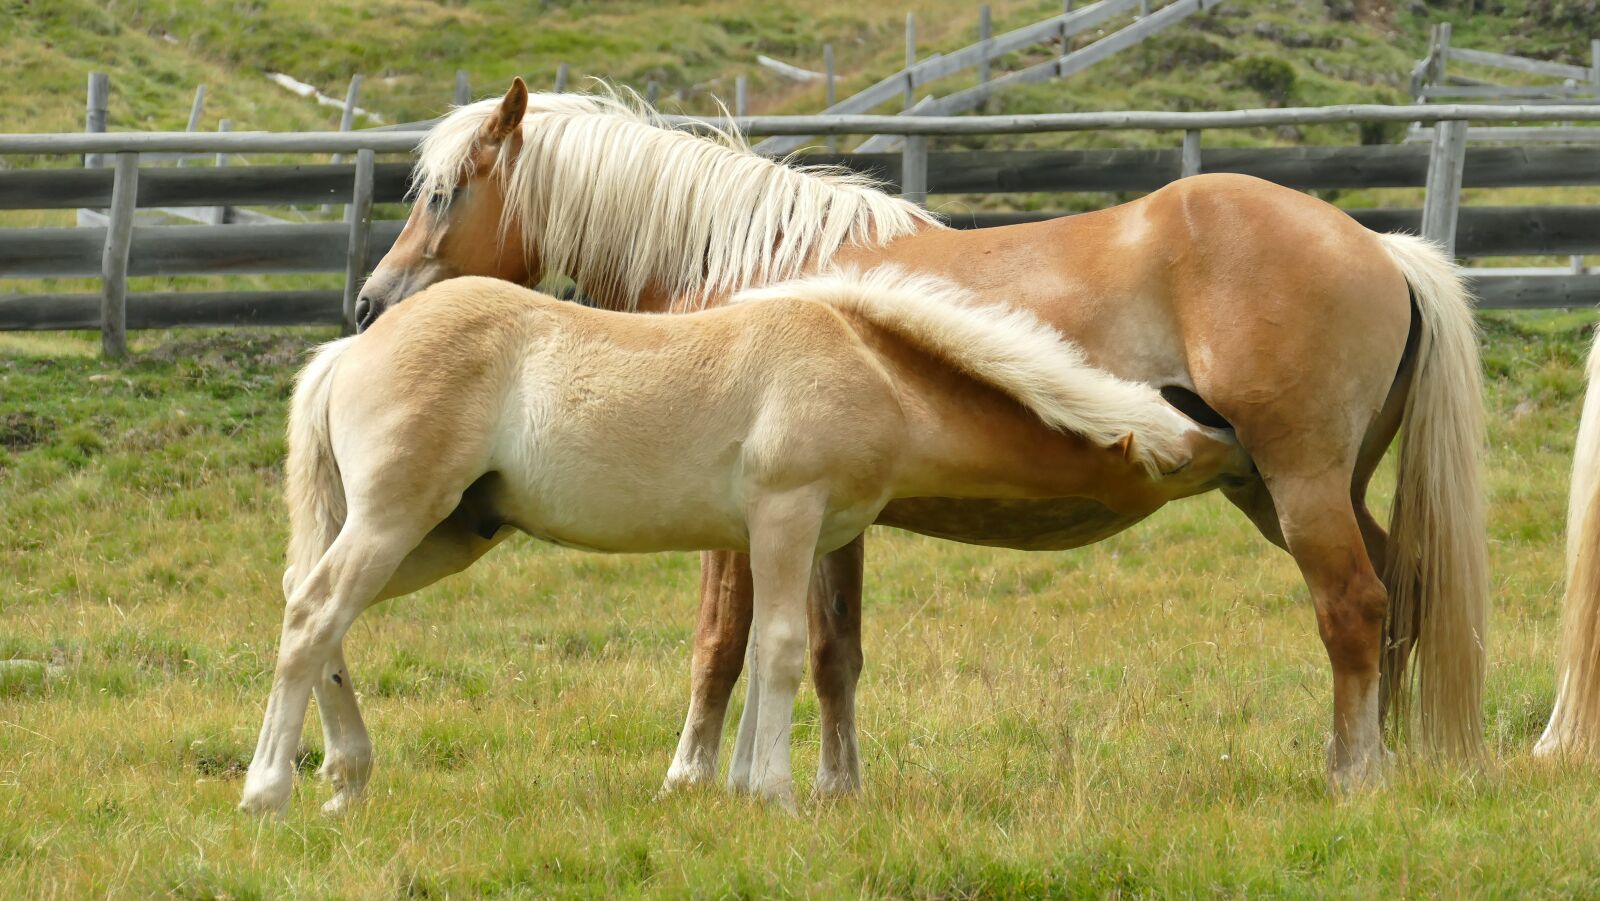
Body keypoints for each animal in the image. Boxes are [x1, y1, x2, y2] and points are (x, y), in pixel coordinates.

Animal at [238, 269, 1250, 815]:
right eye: (1187, 452)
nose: (1250, 460)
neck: (868, 365)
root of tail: (350, 350)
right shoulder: (787, 516)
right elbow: (786, 649)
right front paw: (779, 794)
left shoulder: (794, 536)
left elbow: (769, 649)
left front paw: (745, 788)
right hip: (398, 517)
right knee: (314, 613)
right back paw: (268, 791)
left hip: (444, 533)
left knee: (318, 613)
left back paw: (347, 780)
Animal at [351, 78, 1489, 796]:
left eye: (443, 193)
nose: (372, 304)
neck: (751, 266)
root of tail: (1377, 246)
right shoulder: (835, 521)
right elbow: (832, 652)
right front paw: (834, 783)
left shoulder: (737, 518)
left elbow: (721, 642)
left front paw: (689, 776)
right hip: (1291, 492)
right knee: (1401, 599)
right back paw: (1388, 760)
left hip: (1301, 486)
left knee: (1353, 609)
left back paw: (1352, 772)